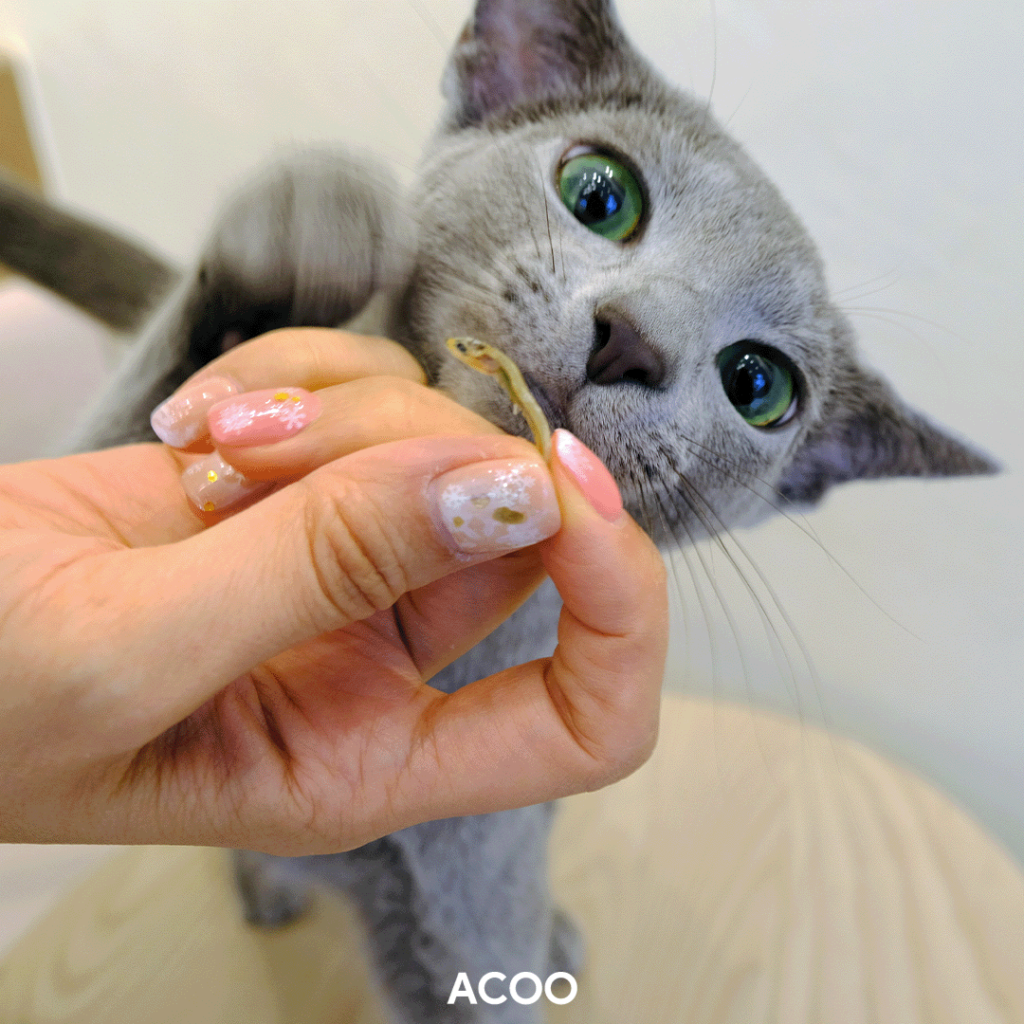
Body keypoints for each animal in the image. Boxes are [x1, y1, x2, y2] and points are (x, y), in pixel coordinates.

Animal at [0, 1, 995, 1021]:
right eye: (599, 194)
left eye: (759, 386)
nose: (633, 340)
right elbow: (124, 428)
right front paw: (308, 217)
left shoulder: (473, 887)